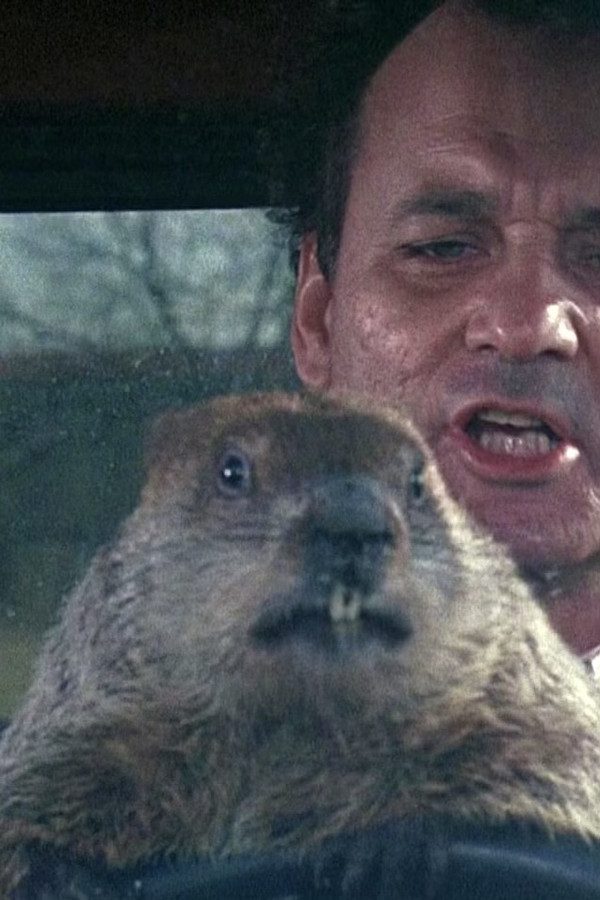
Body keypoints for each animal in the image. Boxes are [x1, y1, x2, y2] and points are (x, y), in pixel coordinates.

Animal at [1, 391, 600, 896]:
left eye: (417, 484)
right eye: (231, 470)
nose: (354, 522)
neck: (291, 723)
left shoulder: (519, 697)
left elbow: (559, 763)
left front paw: (392, 840)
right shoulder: (99, 723)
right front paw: (51, 874)